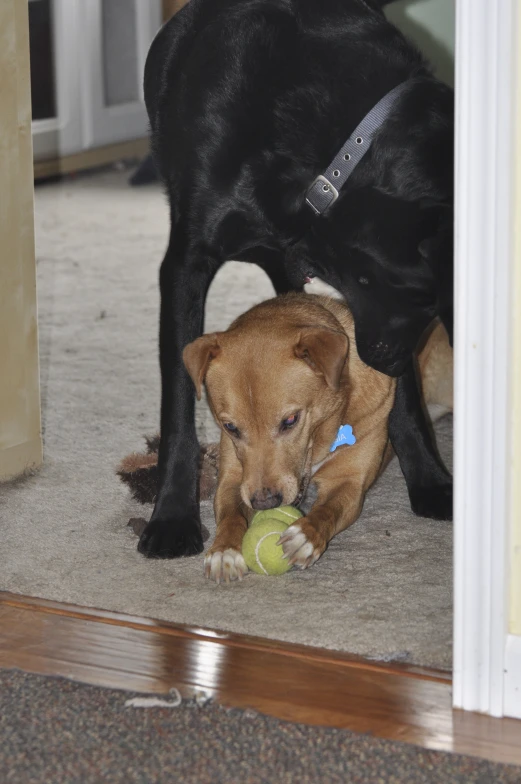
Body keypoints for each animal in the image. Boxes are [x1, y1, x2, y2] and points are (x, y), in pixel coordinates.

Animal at [184, 294, 450, 580]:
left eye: (290, 420)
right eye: (230, 427)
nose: (264, 502)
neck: (324, 434)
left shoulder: (348, 482)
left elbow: (327, 510)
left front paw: (305, 535)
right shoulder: (234, 478)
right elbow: (231, 514)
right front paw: (224, 550)